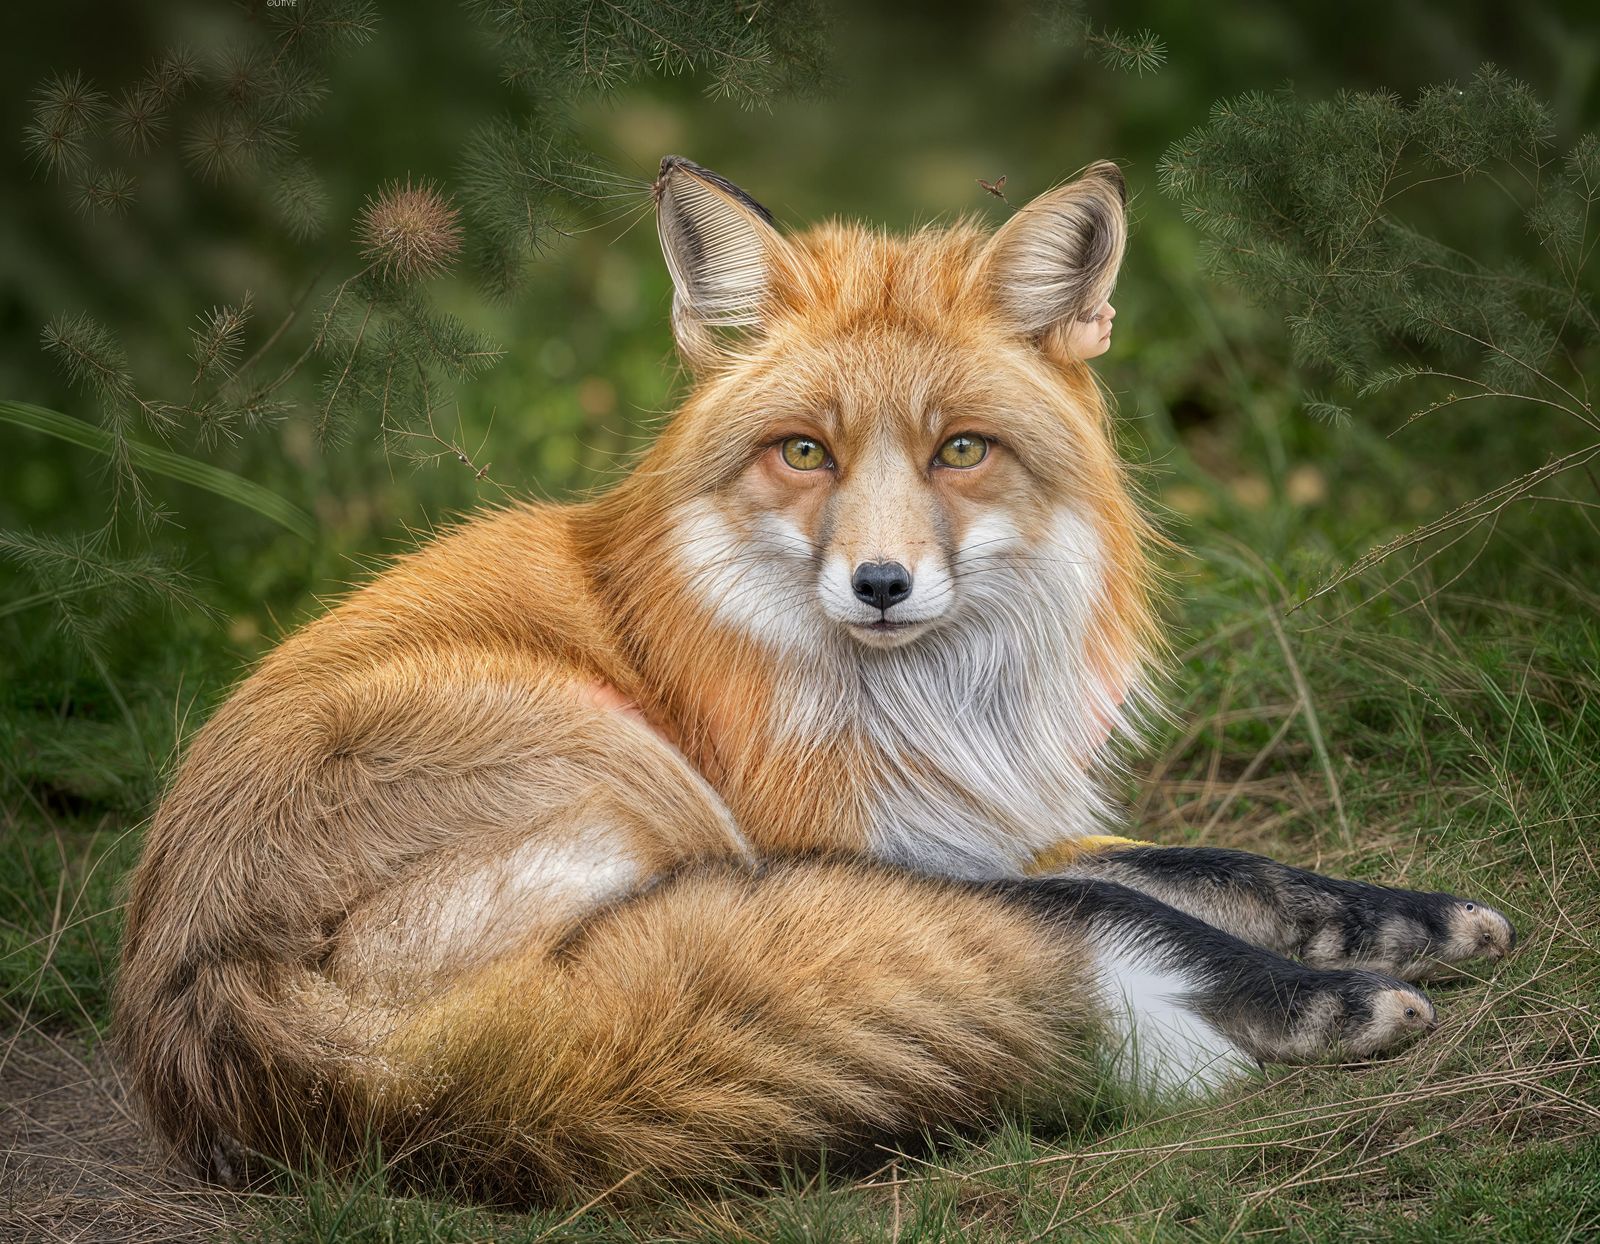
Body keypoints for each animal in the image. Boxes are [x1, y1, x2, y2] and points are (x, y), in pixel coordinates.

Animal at [114, 157, 1517, 1202]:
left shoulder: (972, 819)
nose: (881, 583)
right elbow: (1141, 904)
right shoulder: (846, 843)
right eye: (804, 453)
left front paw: (1411, 917)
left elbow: (1225, 868)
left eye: (961, 450)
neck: (921, 707)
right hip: (635, 786)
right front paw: (1332, 994)